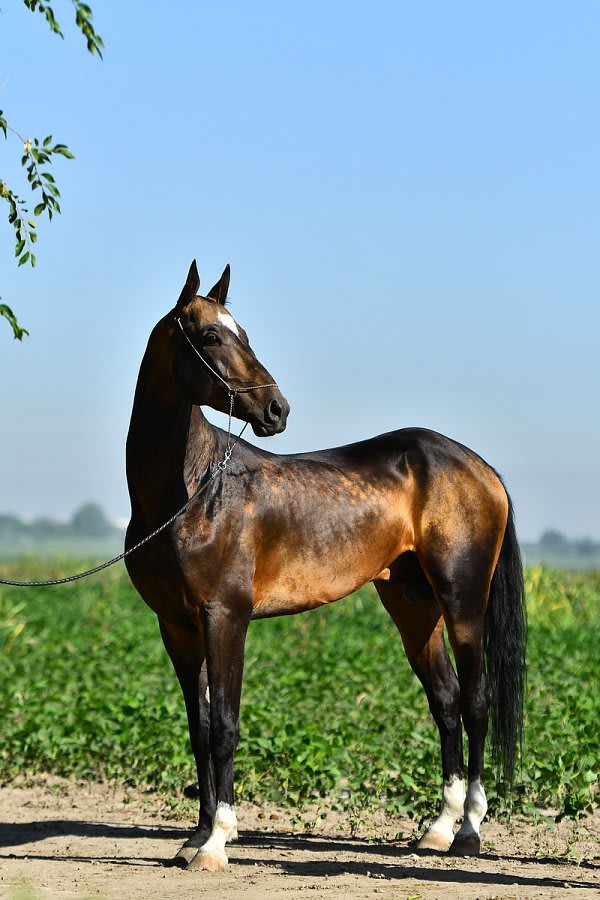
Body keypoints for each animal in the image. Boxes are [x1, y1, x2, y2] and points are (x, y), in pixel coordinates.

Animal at [125, 260, 526, 871]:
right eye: (211, 336)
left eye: (243, 333)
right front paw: (194, 839)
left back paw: (469, 832)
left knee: (476, 701)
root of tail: (478, 466)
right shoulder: (177, 627)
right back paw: (437, 828)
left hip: (463, 601)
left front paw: (217, 843)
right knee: (447, 701)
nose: (277, 409)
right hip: (414, 606)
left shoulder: (226, 618)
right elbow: (198, 727)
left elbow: (224, 727)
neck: (192, 494)